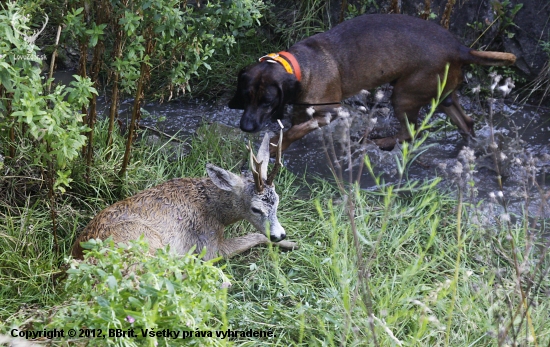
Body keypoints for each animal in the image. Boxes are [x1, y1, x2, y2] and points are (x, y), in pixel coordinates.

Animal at [74, 132, 300, 262]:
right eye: (255, 208)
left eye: (277, 202)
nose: (280, 235)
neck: (215, 210)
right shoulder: (208, 243)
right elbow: (256, 236)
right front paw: (291, 244)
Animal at [229, 13, 516, 152]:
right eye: (245, 96)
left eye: (267, 101)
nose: (245, 127)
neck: (301, 65)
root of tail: (460, 48)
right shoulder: (302, 112)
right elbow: (295, 128)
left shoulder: (333, 112)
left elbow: (293, 132)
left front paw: (277, 147)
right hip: (444, 96)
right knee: (466, 123)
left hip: (404, 95)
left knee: (409, 133)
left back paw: (376, 143)